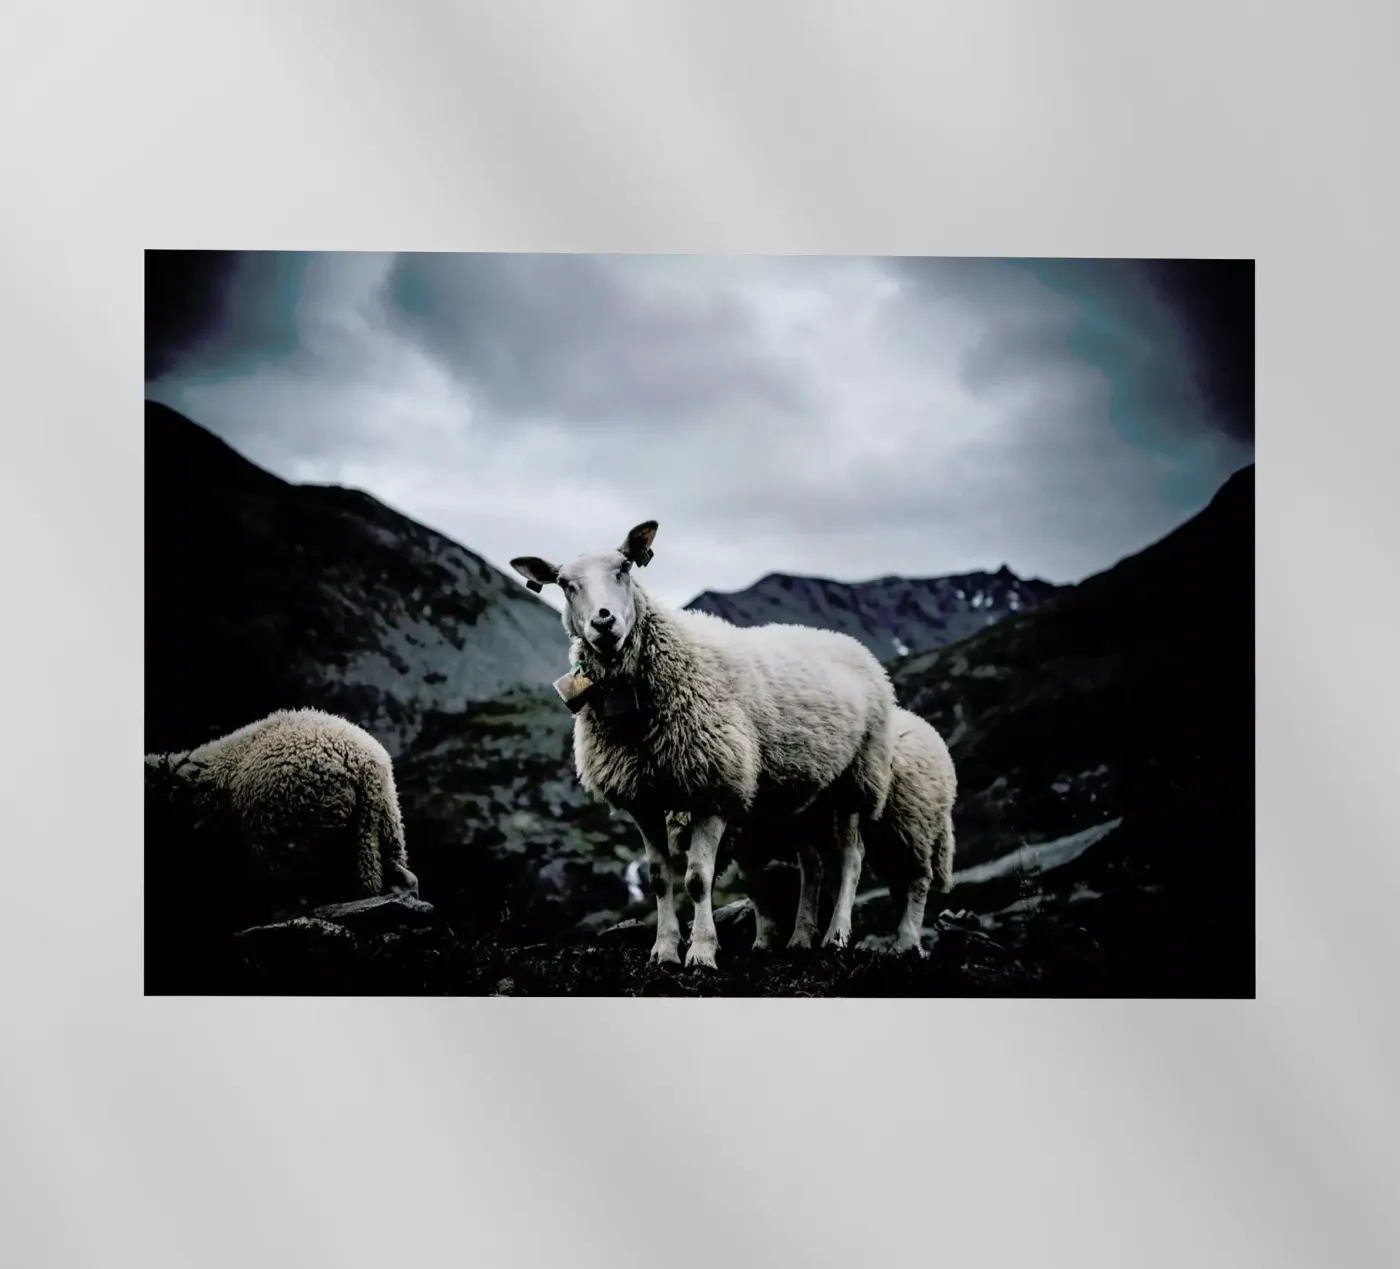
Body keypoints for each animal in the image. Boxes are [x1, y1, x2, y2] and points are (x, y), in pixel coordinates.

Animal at [511, 520, 897, 970]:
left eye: (624, 567)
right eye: (564, 584)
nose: (603, 623)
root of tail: (851, 644)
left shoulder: (713, 786)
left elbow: (698, 878)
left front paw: (701, 952)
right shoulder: (643, 798)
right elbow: (659, 878)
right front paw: (663, 950)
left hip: (857, 779)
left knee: (851, 860)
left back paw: (835, 936)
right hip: (798, 794)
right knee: (813, 864)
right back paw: (799, 937)